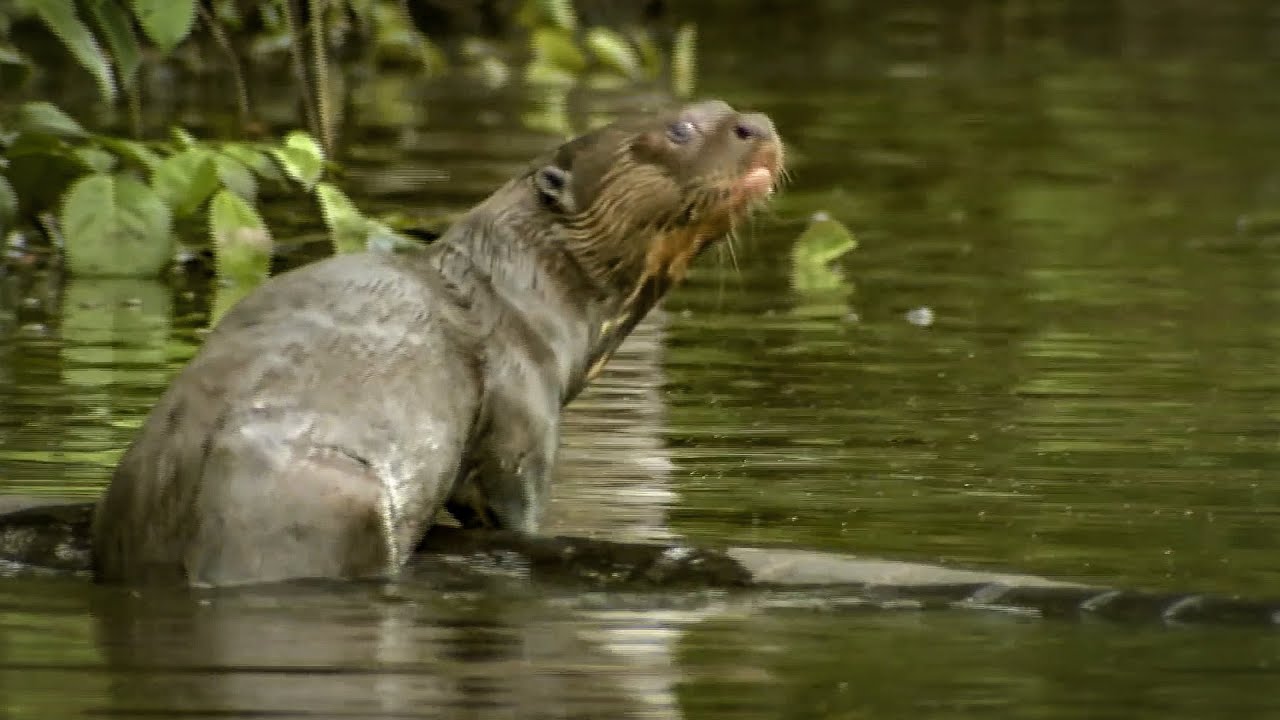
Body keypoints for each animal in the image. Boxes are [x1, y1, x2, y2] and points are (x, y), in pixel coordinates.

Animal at [90, 99, 783, 587]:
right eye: (681, 128)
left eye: (725, 107)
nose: (758, 125)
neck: (522, 293)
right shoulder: (521, 404)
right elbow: (513, 504)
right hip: (328, 504)